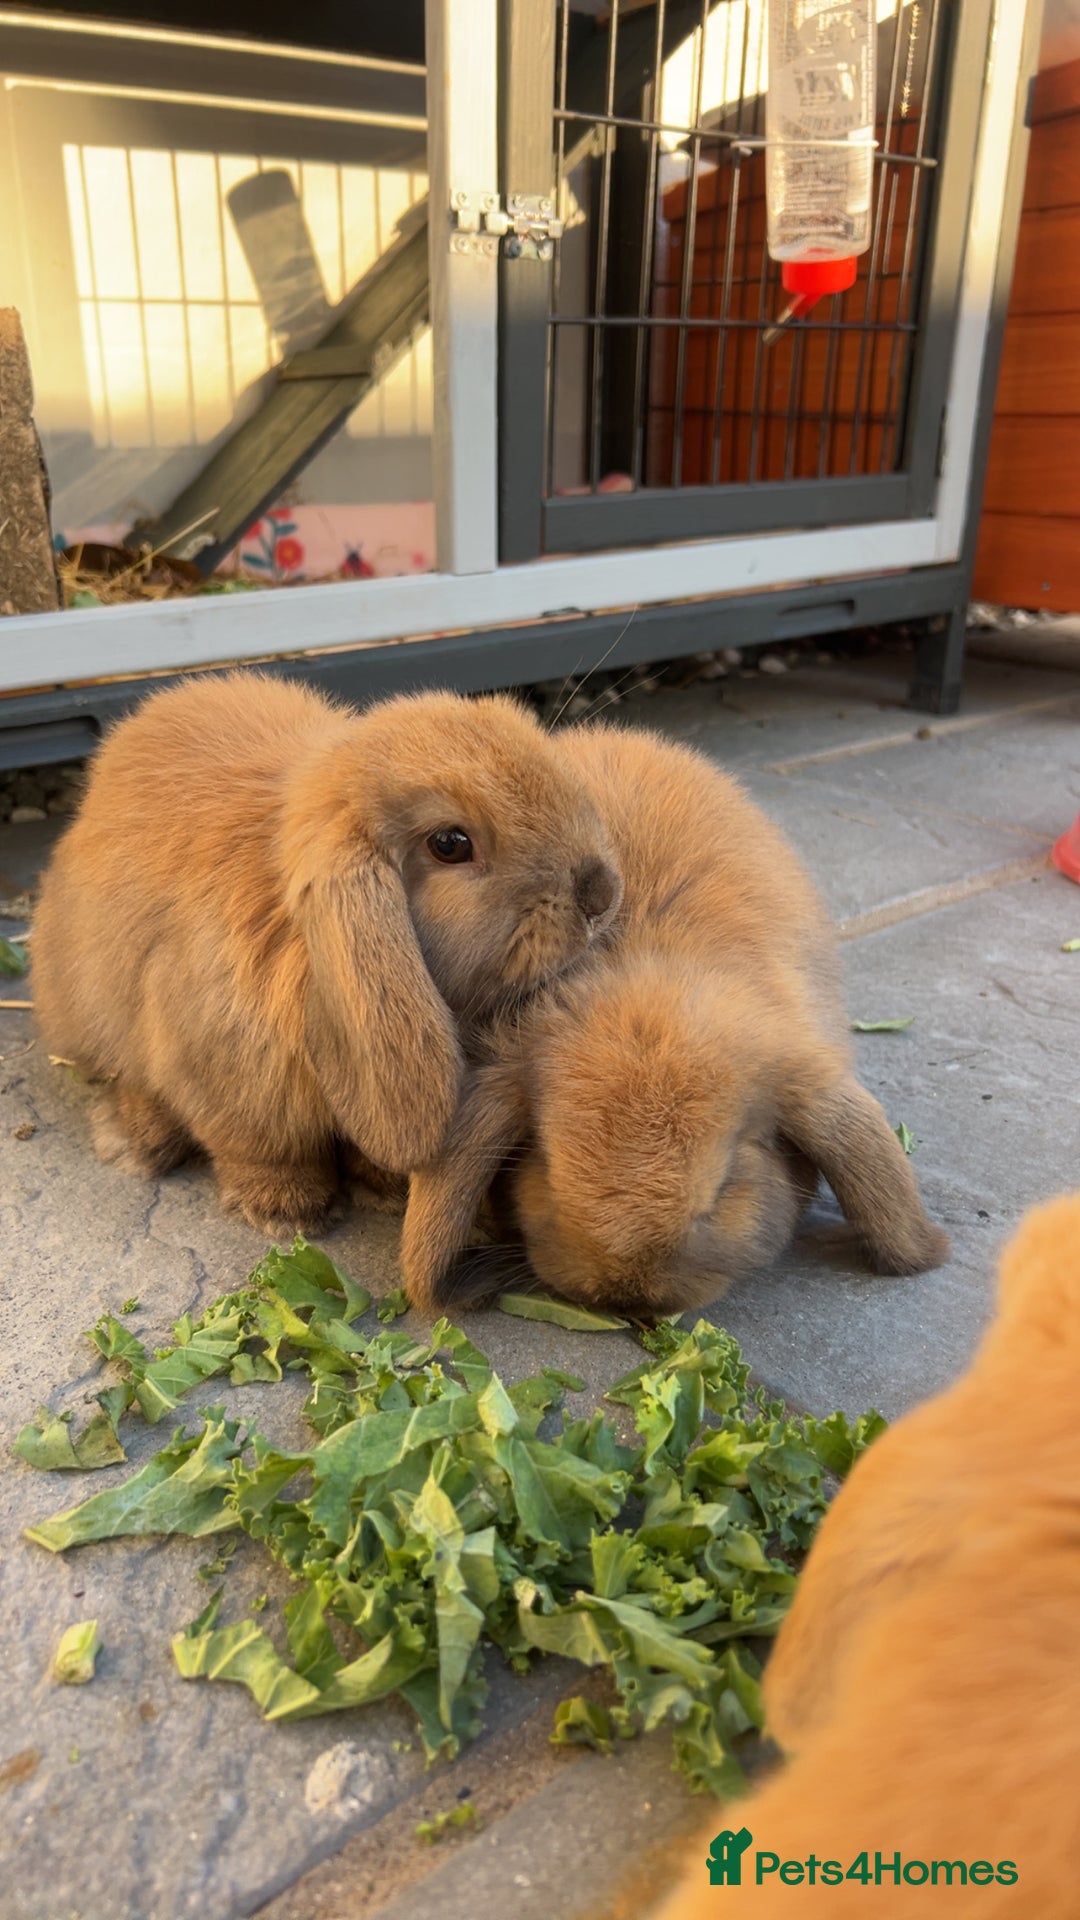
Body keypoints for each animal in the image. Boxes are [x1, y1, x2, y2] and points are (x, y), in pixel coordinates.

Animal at [31, 672, 621, 1234]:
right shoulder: (217, 1076)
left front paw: (382, 1187)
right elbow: (259, 1147)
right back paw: (137, 1140)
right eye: (450, 844)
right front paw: (286, 1210)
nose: (602, 893)